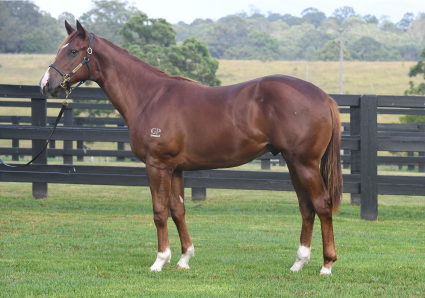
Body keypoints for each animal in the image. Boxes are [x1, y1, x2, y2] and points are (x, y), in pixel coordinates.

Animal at [40, 21, 342, 274]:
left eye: (73, 51)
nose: (46, 85)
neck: (150, 97)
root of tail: (322, 95)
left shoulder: (157, 165)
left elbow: (159, 212)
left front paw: (159, 261)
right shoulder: (175, 168)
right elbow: (178, 210)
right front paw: (184, 259)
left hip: (304, 164)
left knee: (322, 204)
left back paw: (326, 265)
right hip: (293, 163)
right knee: (306, 208)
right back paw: (299, 263)